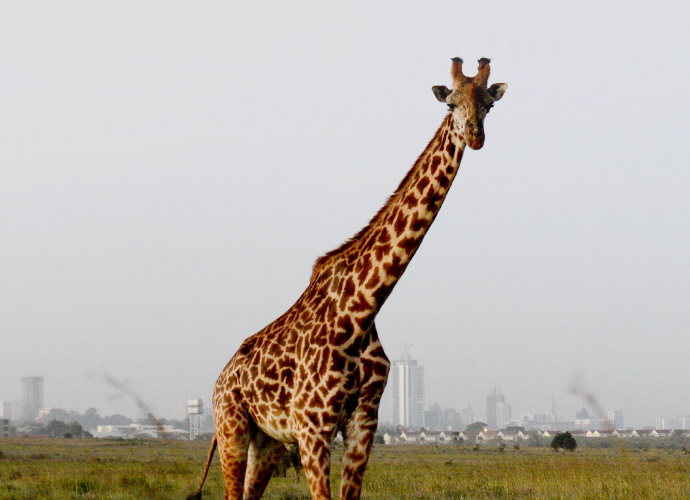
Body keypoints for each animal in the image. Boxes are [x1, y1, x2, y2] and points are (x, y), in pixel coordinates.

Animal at [187, 57, 507, 500]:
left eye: (488, 106)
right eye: (450, 104)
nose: (475, 137)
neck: (364, 308)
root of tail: (219, 380)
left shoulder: (362, 423)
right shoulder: (312, 428)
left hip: (267, 441)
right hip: (231, 426)